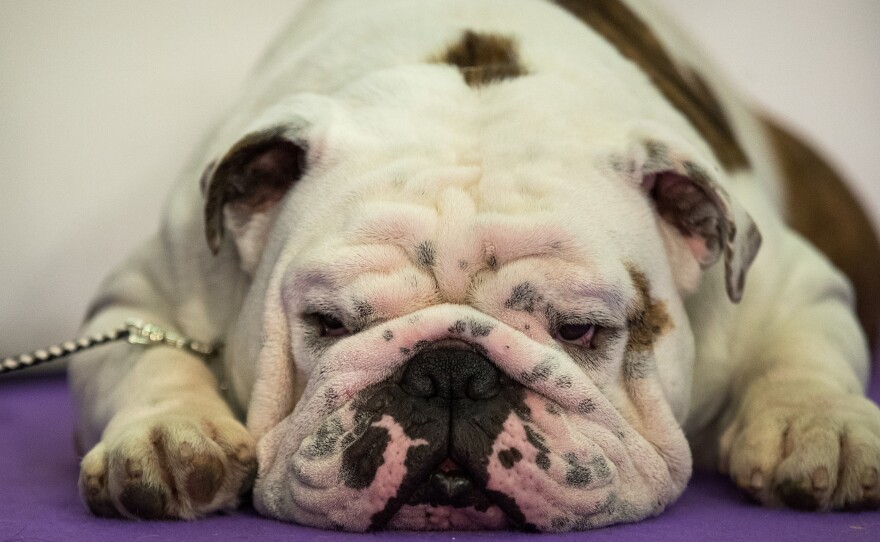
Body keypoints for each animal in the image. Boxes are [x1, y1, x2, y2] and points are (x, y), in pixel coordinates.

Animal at [67, 0, 880, 536]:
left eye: (580, 331)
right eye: (327, 323)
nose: (451, 370)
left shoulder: (789, 282)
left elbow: (803, 350)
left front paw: (822, 428)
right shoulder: (141, 293)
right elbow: (142, 357)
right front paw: (170, 438)